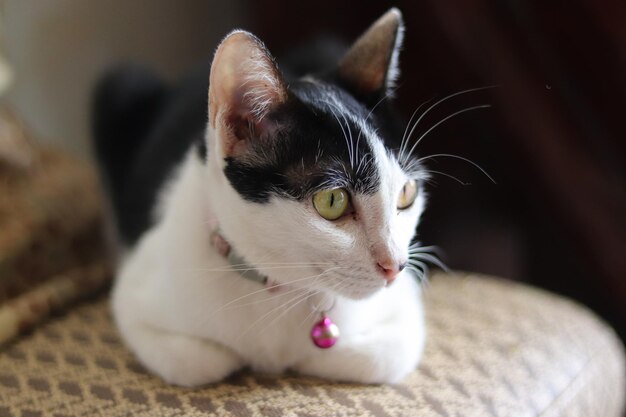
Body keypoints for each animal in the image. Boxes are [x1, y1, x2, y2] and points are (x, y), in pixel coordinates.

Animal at [92, 8, 428, 386]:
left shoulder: (405, 312)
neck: (277, 287)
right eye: (332, 201)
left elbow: (381, 356)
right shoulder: (135, 295)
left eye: (407, 193)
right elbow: (199, 362)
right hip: (120, 84)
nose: (395, 266)